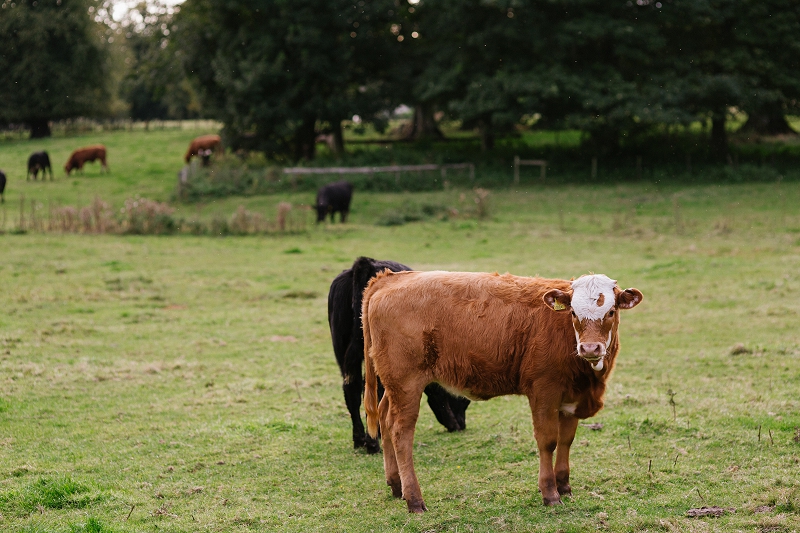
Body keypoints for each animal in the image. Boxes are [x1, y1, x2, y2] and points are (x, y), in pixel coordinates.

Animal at [328, 256, 472, 450]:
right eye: (464, 400)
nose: (460, 425)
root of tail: (367, 263)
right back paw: (373, 442)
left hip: (343, 349)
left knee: (352, 389)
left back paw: (360, 440)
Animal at [362, 270, 644, 512]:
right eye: (573, 312)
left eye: (610, 311)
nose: (590, 348)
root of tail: (390, 278)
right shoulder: (544, 392)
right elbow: (548, 441)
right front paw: (550, 493)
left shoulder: (572, 397)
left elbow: (566, 440)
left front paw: (564, 486)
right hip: (407, 383)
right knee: (401, 432)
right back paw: (414, 499)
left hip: (394, 387)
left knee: (385, 418)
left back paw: (396, 485)